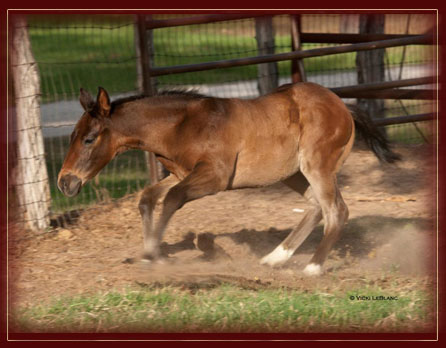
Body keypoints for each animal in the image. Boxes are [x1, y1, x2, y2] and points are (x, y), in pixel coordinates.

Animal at [57, 83, 398, 274]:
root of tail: (344, 106)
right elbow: (148, 197)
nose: (65, 182)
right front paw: (148, 254)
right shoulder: (180, 172)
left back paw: (312, 268)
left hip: (317, 166)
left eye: (89, 139)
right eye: (71, 136)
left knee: (336, 210)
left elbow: (172, 199)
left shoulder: (215, 177)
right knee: (316, 207)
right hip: (293, 174)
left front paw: (155, 255)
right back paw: (274, 259)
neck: (182, 125)